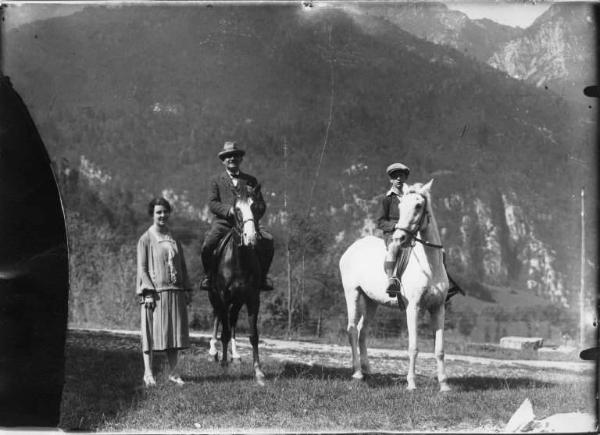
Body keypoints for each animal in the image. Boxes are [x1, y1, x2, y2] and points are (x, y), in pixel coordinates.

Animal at [209, 186, 264, 386]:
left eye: (255, 207)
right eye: (237, 210)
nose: (251, 237)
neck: (239, 260)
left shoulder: (252, 298)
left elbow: (253, 335)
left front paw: (258, 371)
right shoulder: (223, 297)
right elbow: (224, 331)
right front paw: (224, 364)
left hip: (238, 301)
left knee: (231, 320)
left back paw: (235, 355)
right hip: (215, 296)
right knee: (218, 318)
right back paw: (214, 353)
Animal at [340, 180, 448, 392]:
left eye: (418, 206)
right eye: (401, 205)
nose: (400, 238)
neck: (429, 267)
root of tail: (351, 249)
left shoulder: (438, 308)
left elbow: (439, 350)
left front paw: (444, 384)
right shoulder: (413, 308)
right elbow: (413, 347)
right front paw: (411, 383)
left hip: (371, 301)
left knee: (363, 331)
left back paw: (368, 370)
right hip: (352, 294)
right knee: (352, 330)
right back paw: (357, 373)